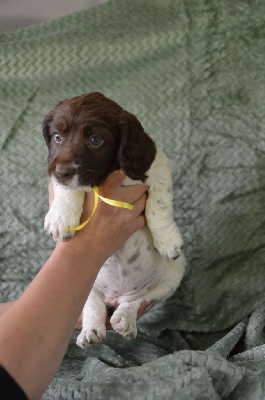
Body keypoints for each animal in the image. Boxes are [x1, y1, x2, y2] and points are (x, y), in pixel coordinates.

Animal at [42, 91, 185, 346]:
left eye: (95, 140)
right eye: (57, 137)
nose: (61, 172)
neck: (106, 177)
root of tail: (115, 297)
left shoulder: (157, 166)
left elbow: (158, 206)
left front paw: (167, 241)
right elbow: (66, 189)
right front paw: (61, 218)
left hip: (173, 276)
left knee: (138, 300)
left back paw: (125, 320)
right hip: (85, 281)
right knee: (92, 302)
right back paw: (91, 331)